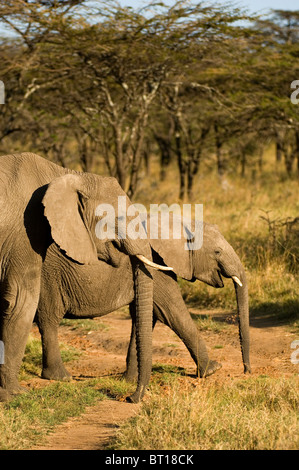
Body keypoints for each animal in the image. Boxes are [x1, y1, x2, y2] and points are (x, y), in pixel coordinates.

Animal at [0, 152, 165, 402]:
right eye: (118, 219)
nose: (131, 398)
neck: (65, 175)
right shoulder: (23, 232)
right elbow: (21, 300)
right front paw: (14, 394)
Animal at [34, 218, 251, 388]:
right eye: (217, 252)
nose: (246, 371)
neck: (178, 223)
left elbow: (146, 316)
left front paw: (128, 380)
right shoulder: (157, 266)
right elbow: (173, 312)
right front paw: (213, 369)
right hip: (48, 278)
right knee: (49, 321)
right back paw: (60, 377)